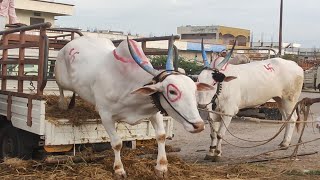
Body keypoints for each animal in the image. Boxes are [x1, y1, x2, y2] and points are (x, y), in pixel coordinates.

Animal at [54, 36, 212, 177]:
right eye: (172, 91)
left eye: (194, 90)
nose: (199, 125)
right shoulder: (106, 116)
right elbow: (117, 143)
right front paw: (119, 169)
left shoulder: (154, 111)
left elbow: (161, 136)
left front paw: (161, 167)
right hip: (60, 77)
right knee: (60, 87)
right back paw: (62, 104)